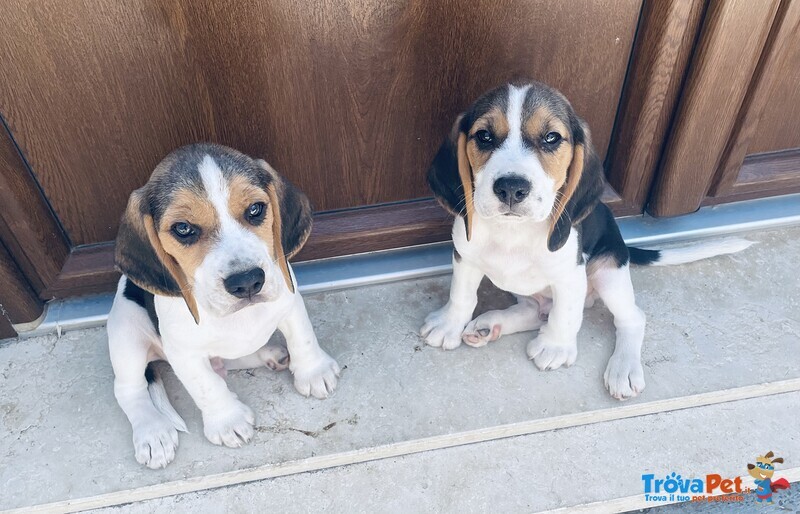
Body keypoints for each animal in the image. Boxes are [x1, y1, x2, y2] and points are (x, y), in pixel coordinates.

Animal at [108, 142, 340, 466]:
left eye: (255, 210)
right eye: (183, 228)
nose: (247, 282)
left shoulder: (289, 301)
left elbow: (302, 337)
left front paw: (313, 371)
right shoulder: (184, 353)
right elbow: (207, 386)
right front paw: (227, 421)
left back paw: (271, 354)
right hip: (125, 331)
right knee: (130, 390)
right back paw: (153, 432)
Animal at [422, 82, 752, 398]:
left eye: (552, 137)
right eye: (484, 136)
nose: (511, 188)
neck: (513, 232)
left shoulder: (571, 274)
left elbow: (566, 313)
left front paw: (555, 346)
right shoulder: (465, 257)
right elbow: (461, 295)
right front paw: (449, 324)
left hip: (607, 272)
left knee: (630, 318)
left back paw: (623, 368)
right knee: (534, 310)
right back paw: (490, 325)